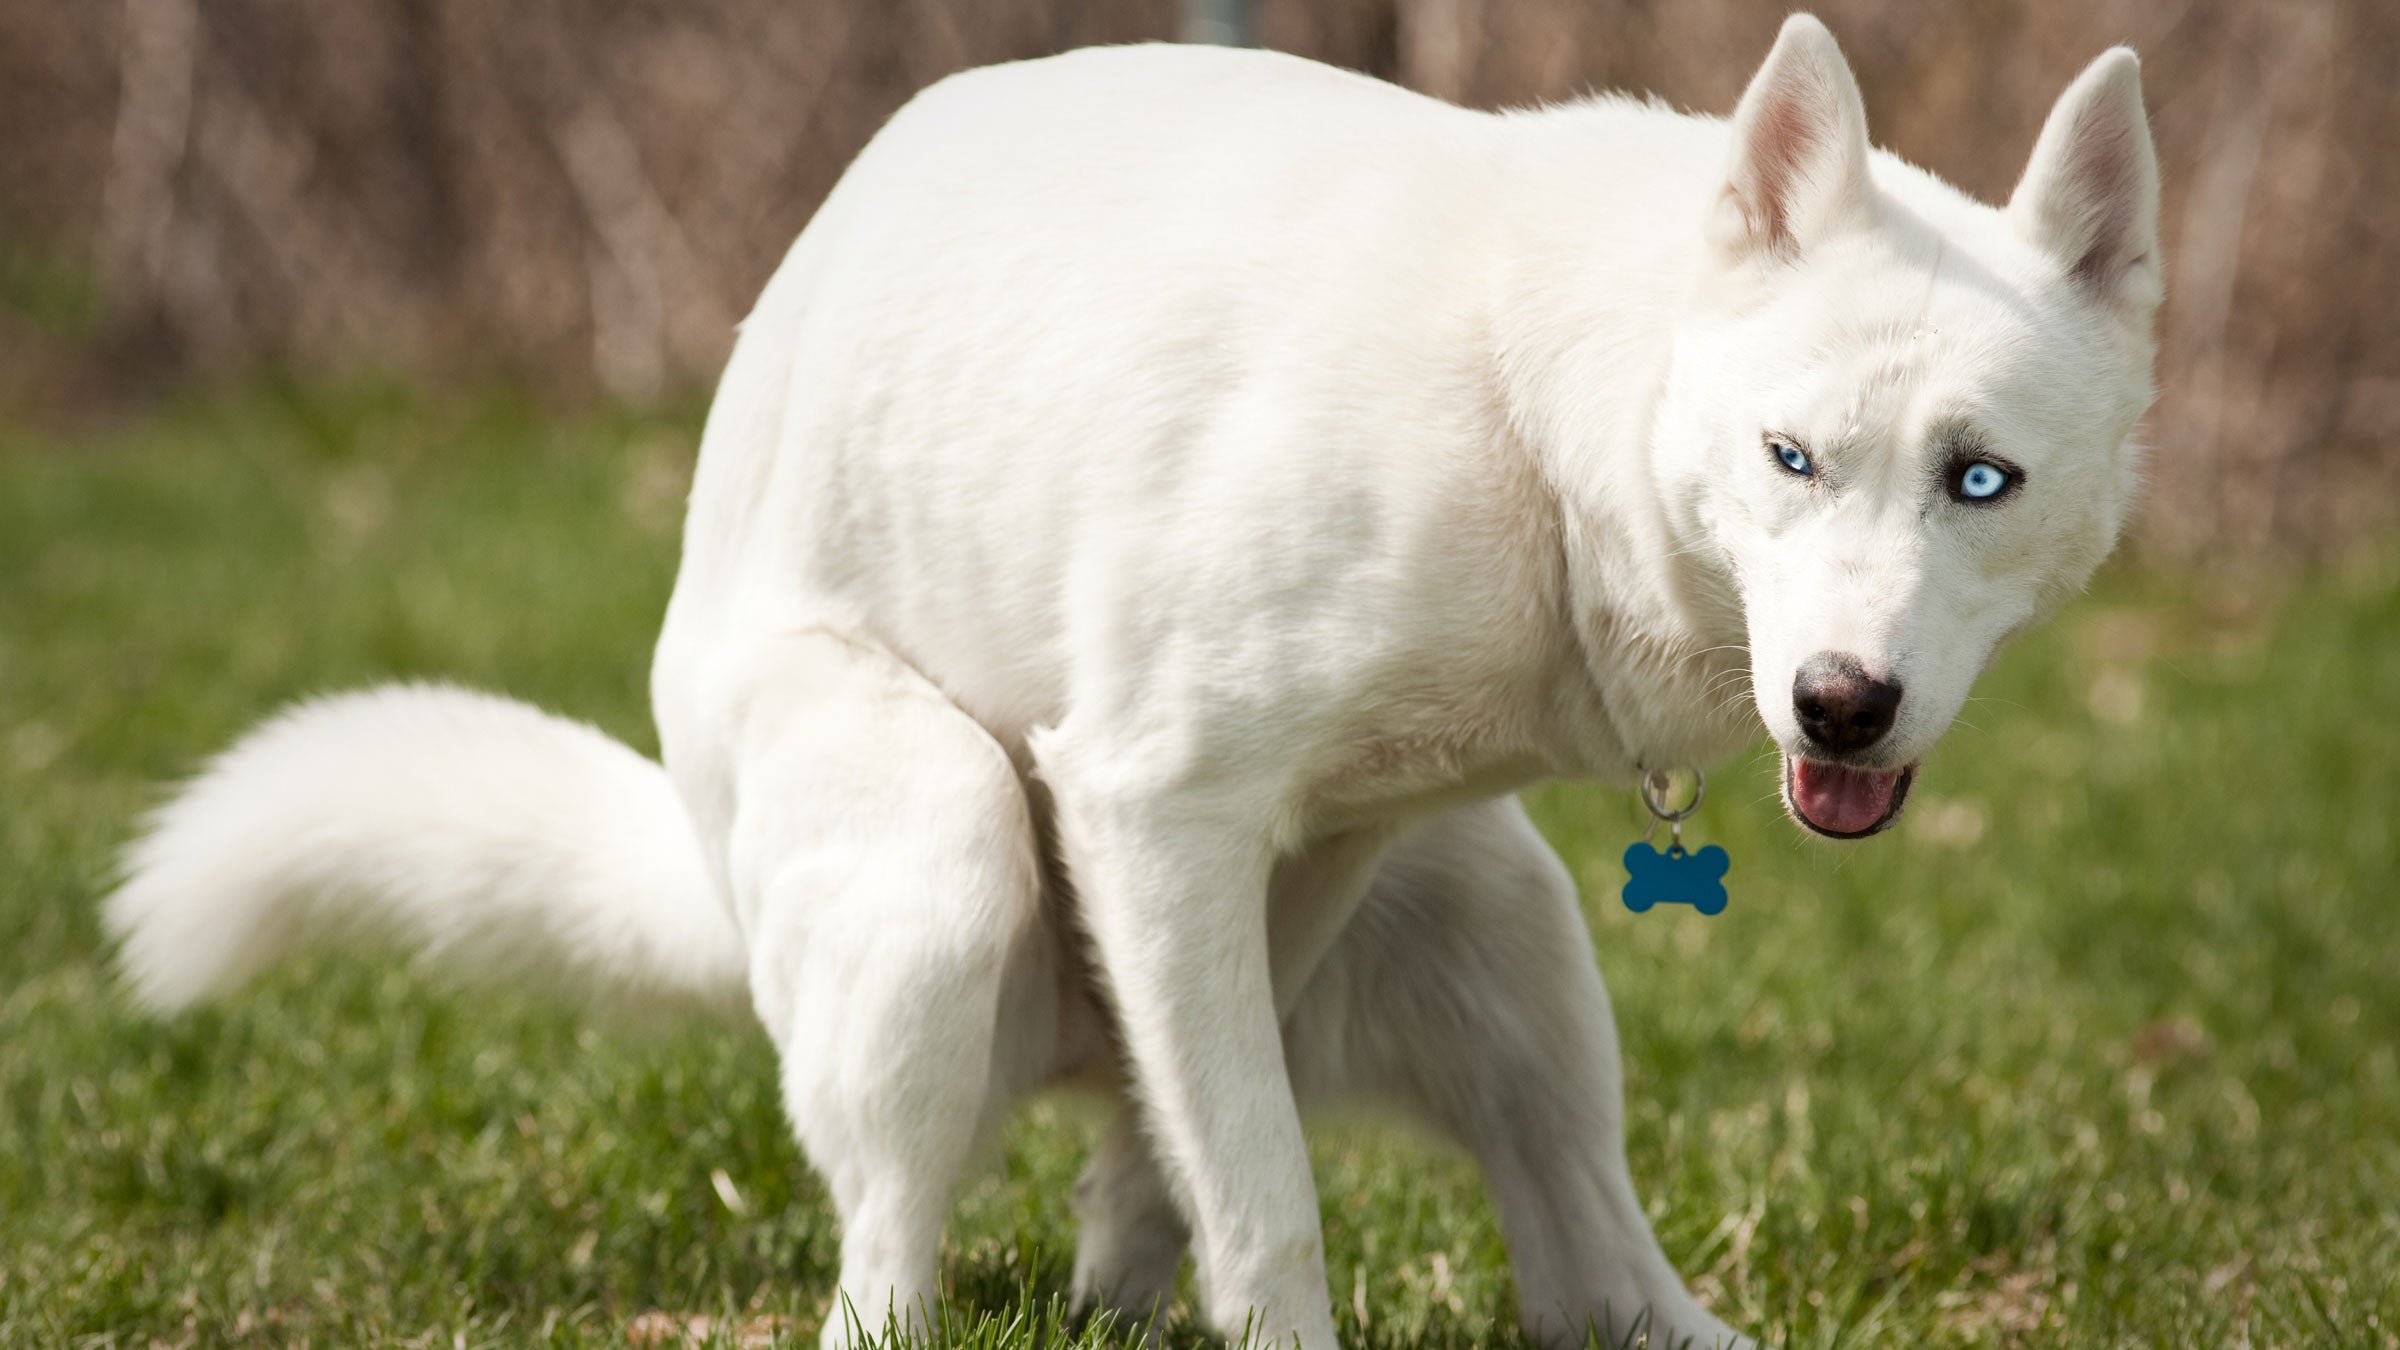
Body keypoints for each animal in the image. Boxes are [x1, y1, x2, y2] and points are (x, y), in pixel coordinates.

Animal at [112, 21, 2169, 1345]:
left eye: (1980, 481)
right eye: (1790, 459)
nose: (1841, 706)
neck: (1534, 407)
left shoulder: (1302, 848)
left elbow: (1192, 1162)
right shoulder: (1149, 805)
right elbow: (1263, 1202)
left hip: (1505, 928)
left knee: (1582, 1265)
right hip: (945, 861)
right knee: (884, 1265)